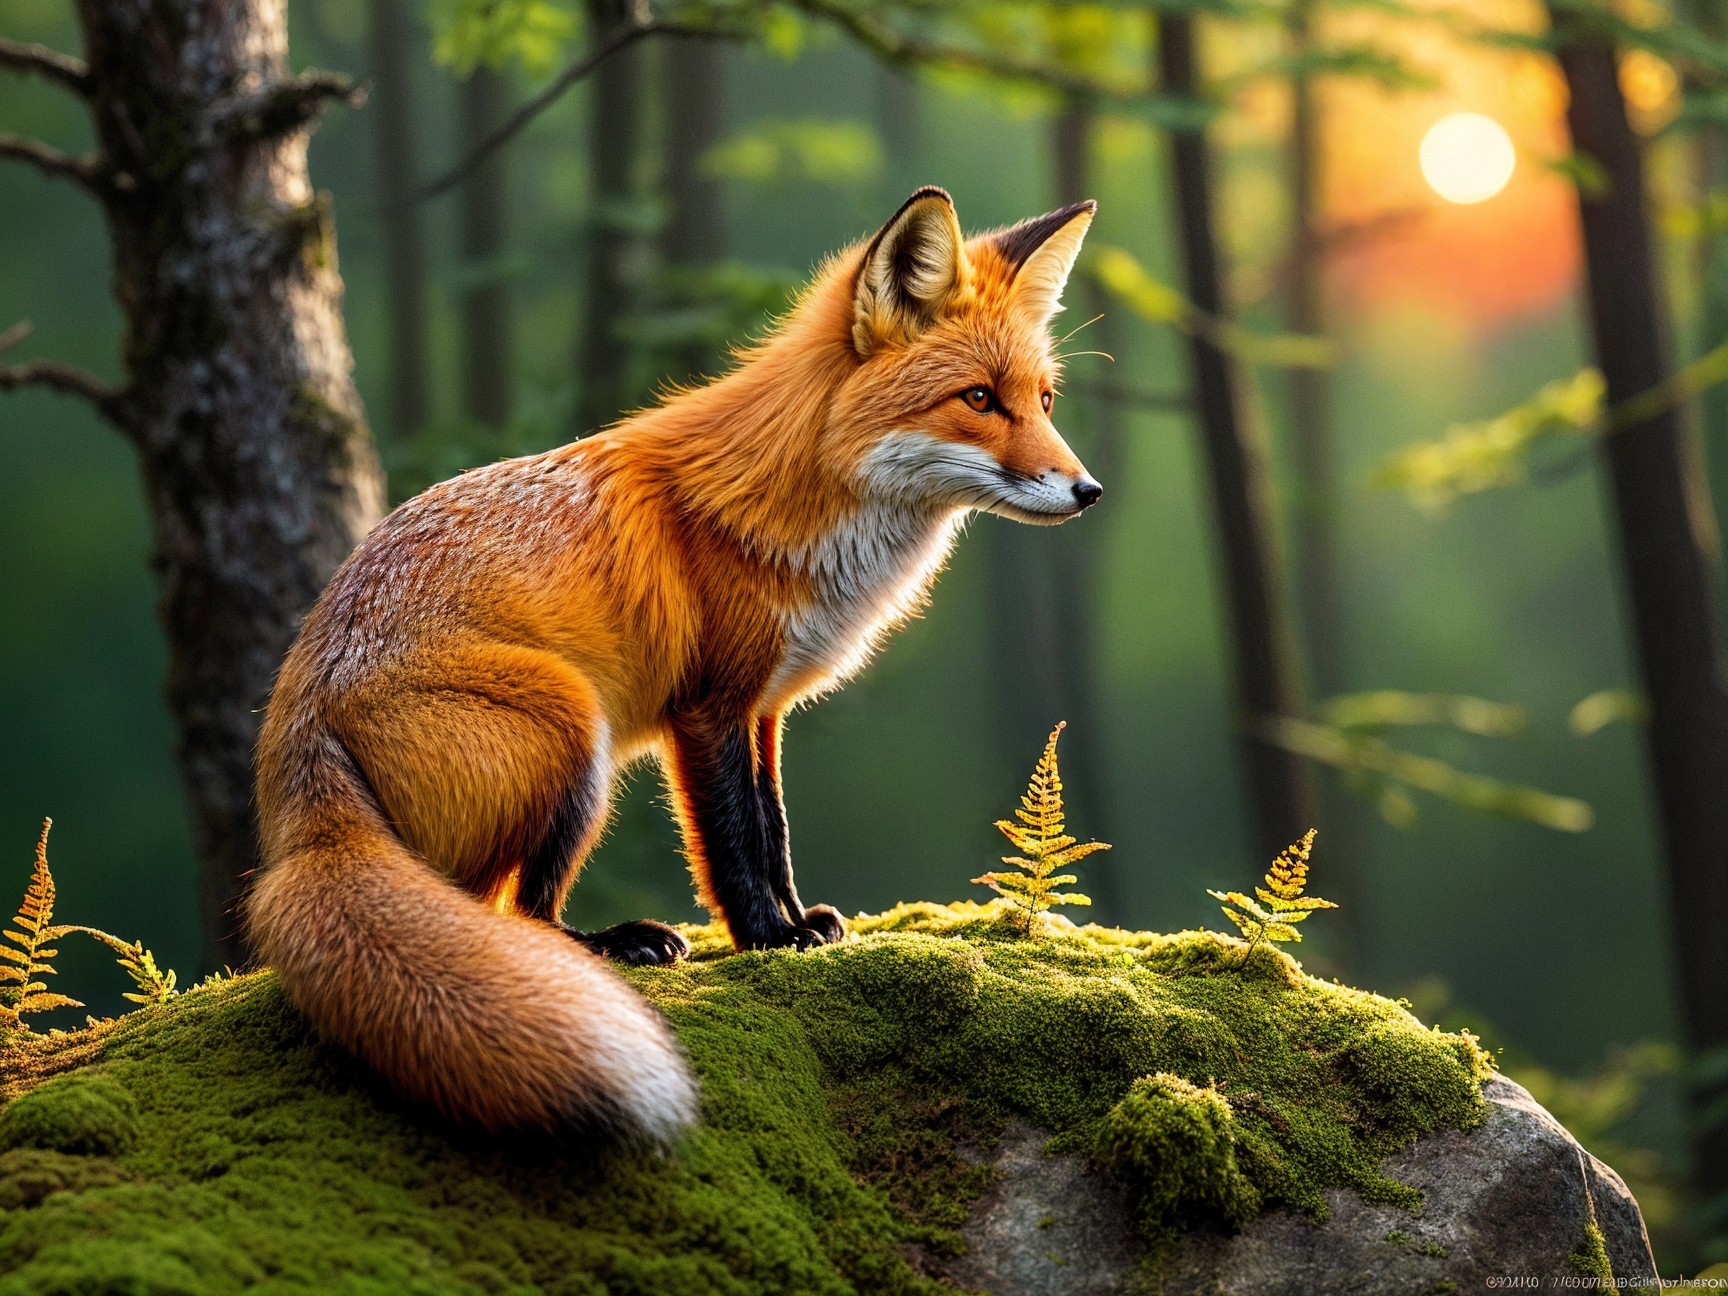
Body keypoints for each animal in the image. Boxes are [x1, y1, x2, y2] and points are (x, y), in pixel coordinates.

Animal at [246, 187, 1103, 1142]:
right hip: (571, 728)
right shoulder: (707, 707)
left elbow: (774, 830)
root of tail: (300, 737)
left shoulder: (763, 707)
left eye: (1044, 398)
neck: (801, 510)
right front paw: (769, 939)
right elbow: (730, 840)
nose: (1088, 490)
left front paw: (800, 921)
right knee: (512, 912)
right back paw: (612, 945)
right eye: (978, 398)